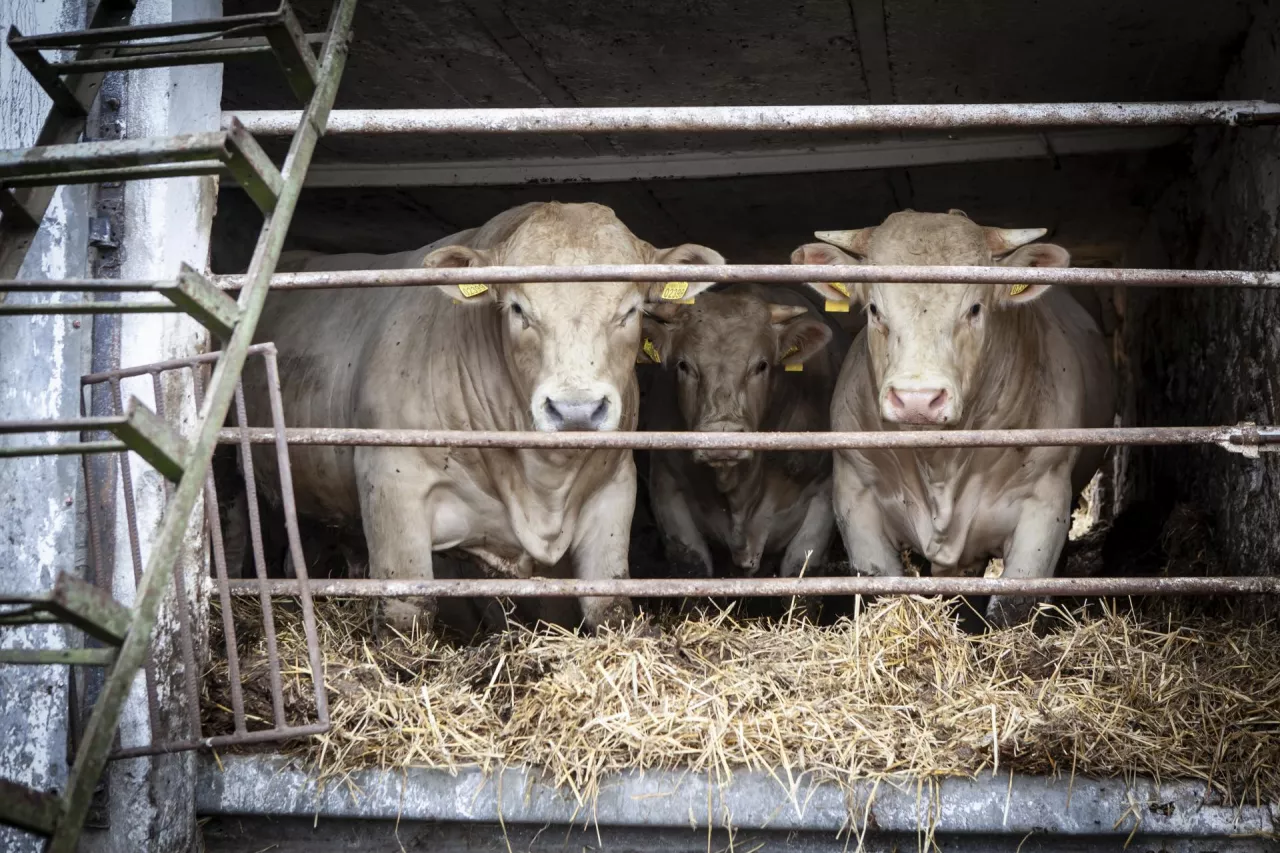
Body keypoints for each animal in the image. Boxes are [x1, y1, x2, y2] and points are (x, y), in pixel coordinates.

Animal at [235, 202, 727, 635]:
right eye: (518, 309)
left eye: (629, 311)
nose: (576, 409)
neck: (541, 487)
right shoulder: (392, 482)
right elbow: (406, 612)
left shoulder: (615, 487)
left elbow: (608, 606)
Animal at [640, 281, 849, 581]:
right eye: (683, 365)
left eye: (761, 365)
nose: (722, 435)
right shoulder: (667, 490)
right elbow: (691, 564)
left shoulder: (821, 495)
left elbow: (800, 566)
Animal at [788, 207, 1111, 625]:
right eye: (874, 309)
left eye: (975, 308)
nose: (917, 400)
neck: (940, 465)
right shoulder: (856, 498)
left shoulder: (1043, 504)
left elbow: (1011, 609)